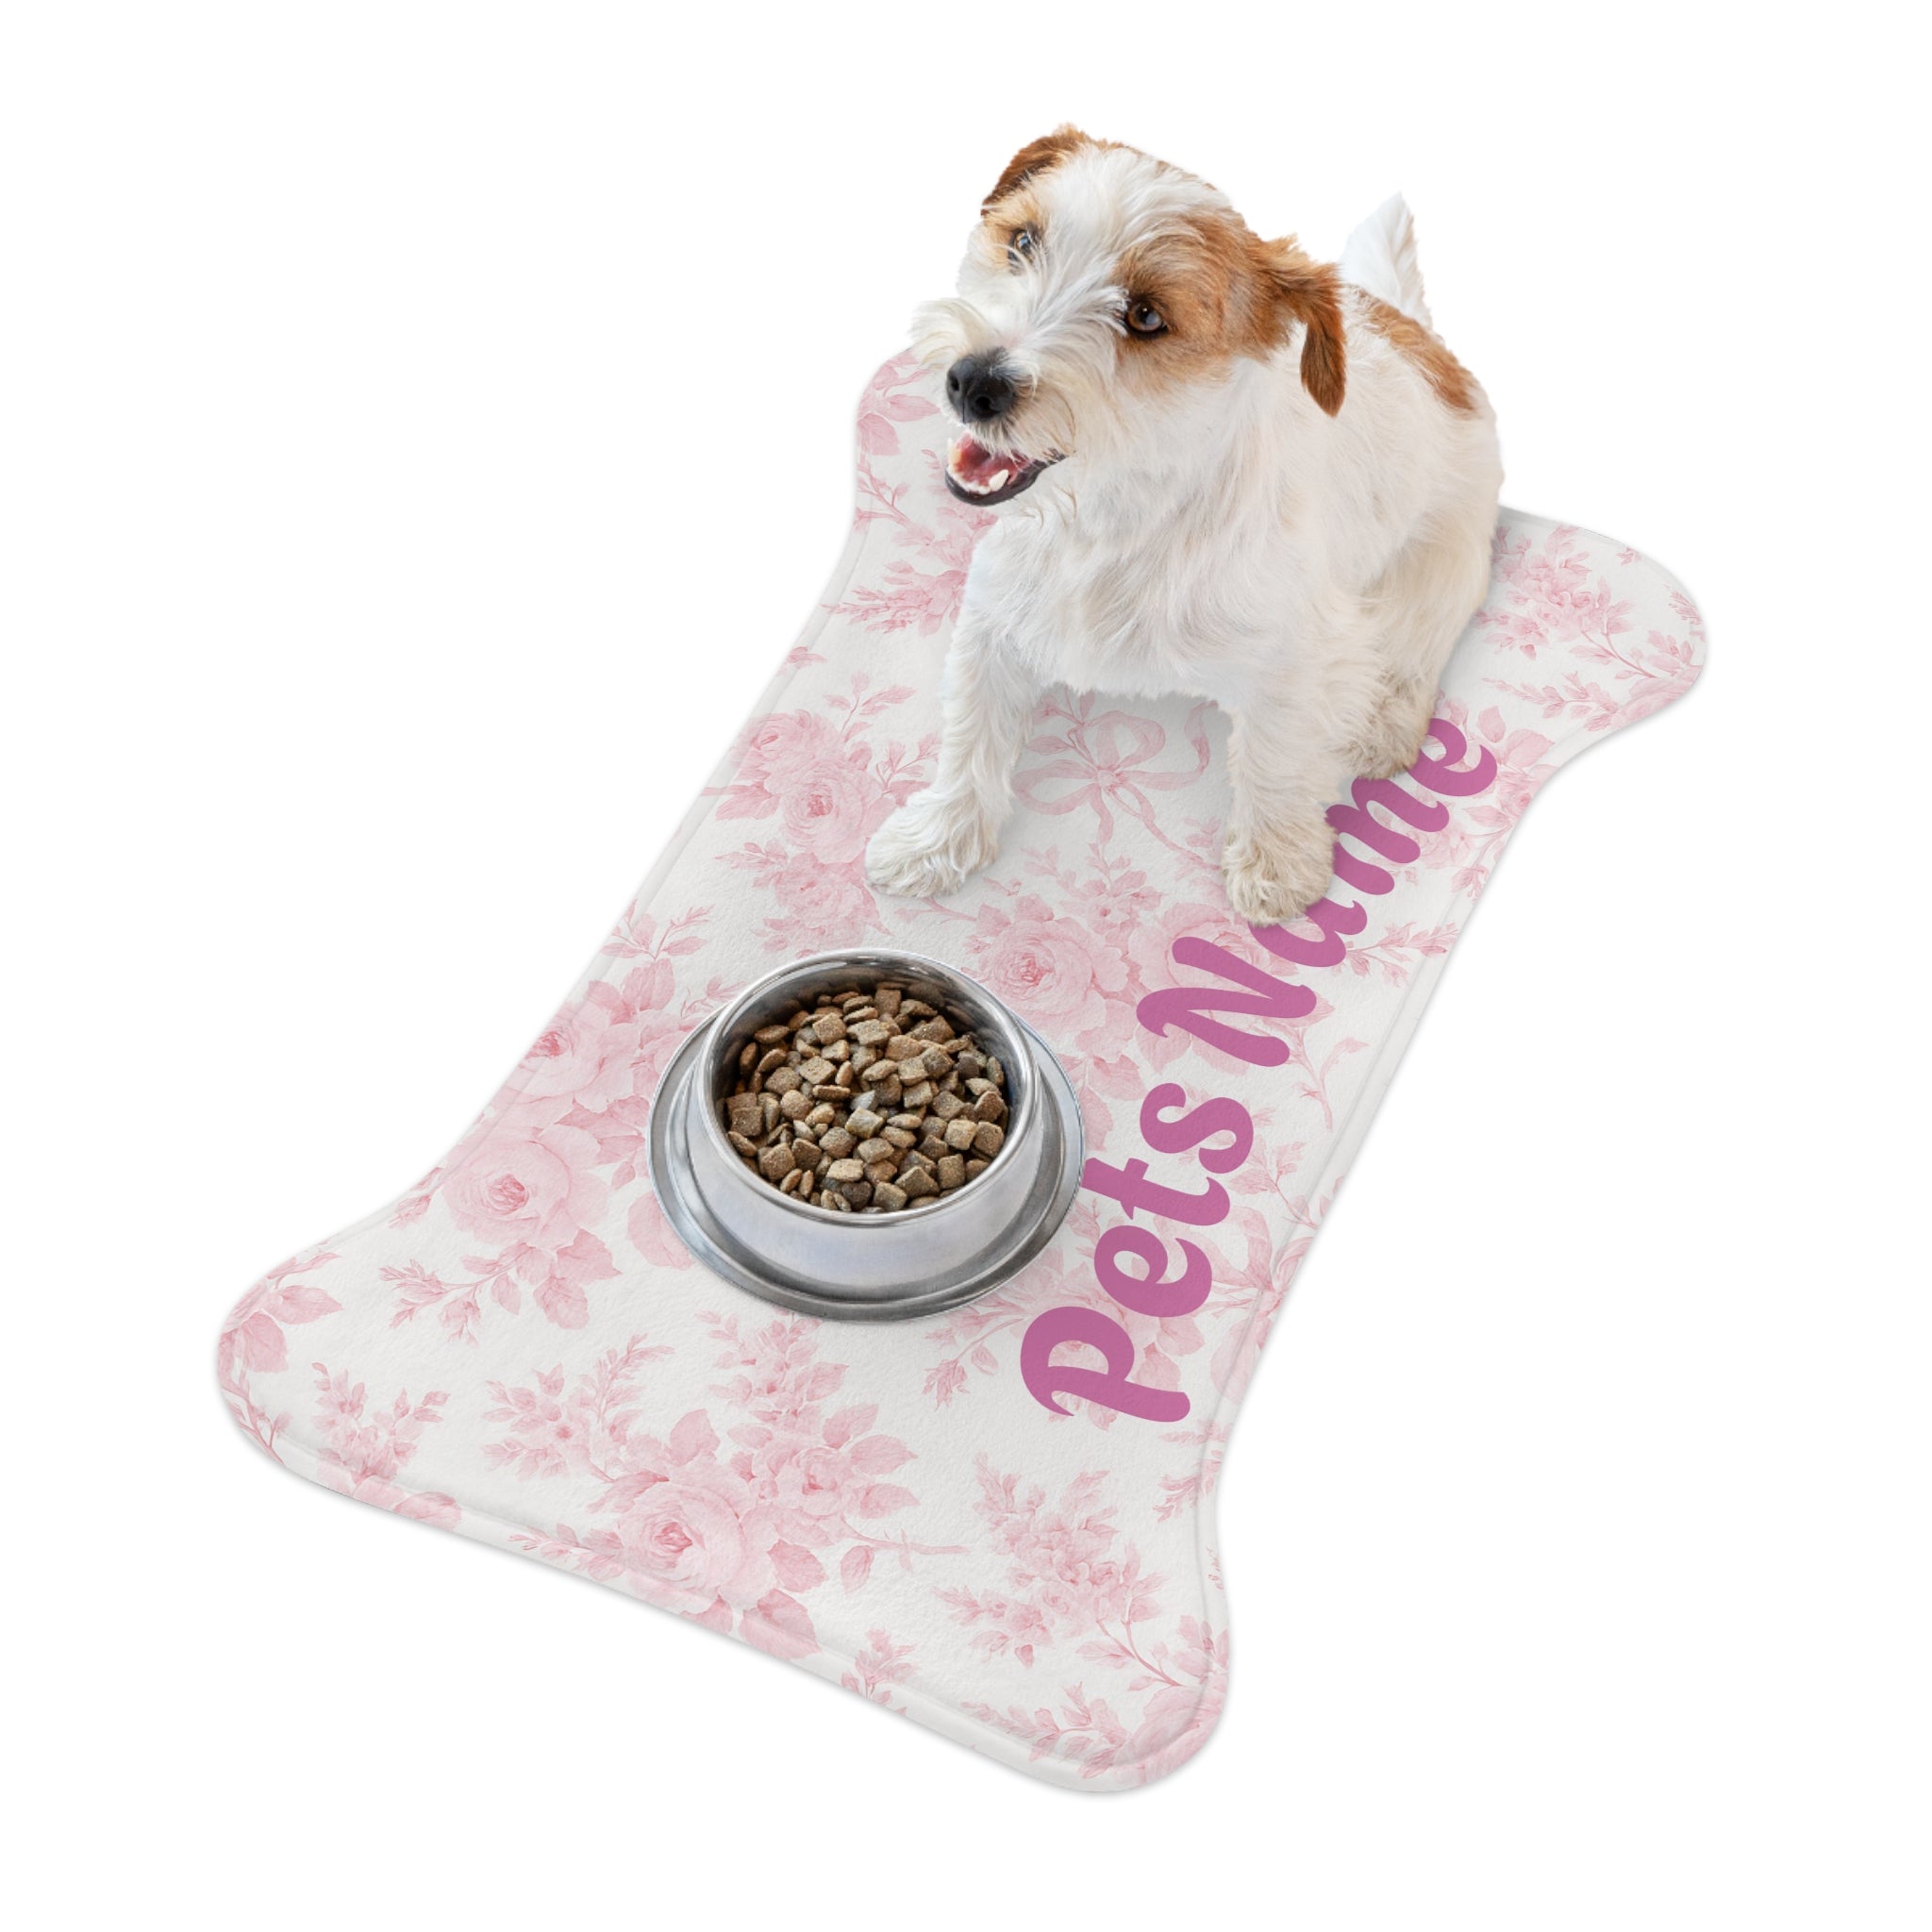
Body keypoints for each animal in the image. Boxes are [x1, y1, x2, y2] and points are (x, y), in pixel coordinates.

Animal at [864, 127, 1502, 925]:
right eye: (1023, 242)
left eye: (1145, 317)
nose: (973, 381)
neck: (1116, 517)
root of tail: (1418, 336)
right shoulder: (993, 623)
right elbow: (970, 738)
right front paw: (935, 839)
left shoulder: (1299, 657)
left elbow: (1275, 758)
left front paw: (1277, 863)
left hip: (1441, 567)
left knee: (1417, 649)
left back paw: (1386, 722)